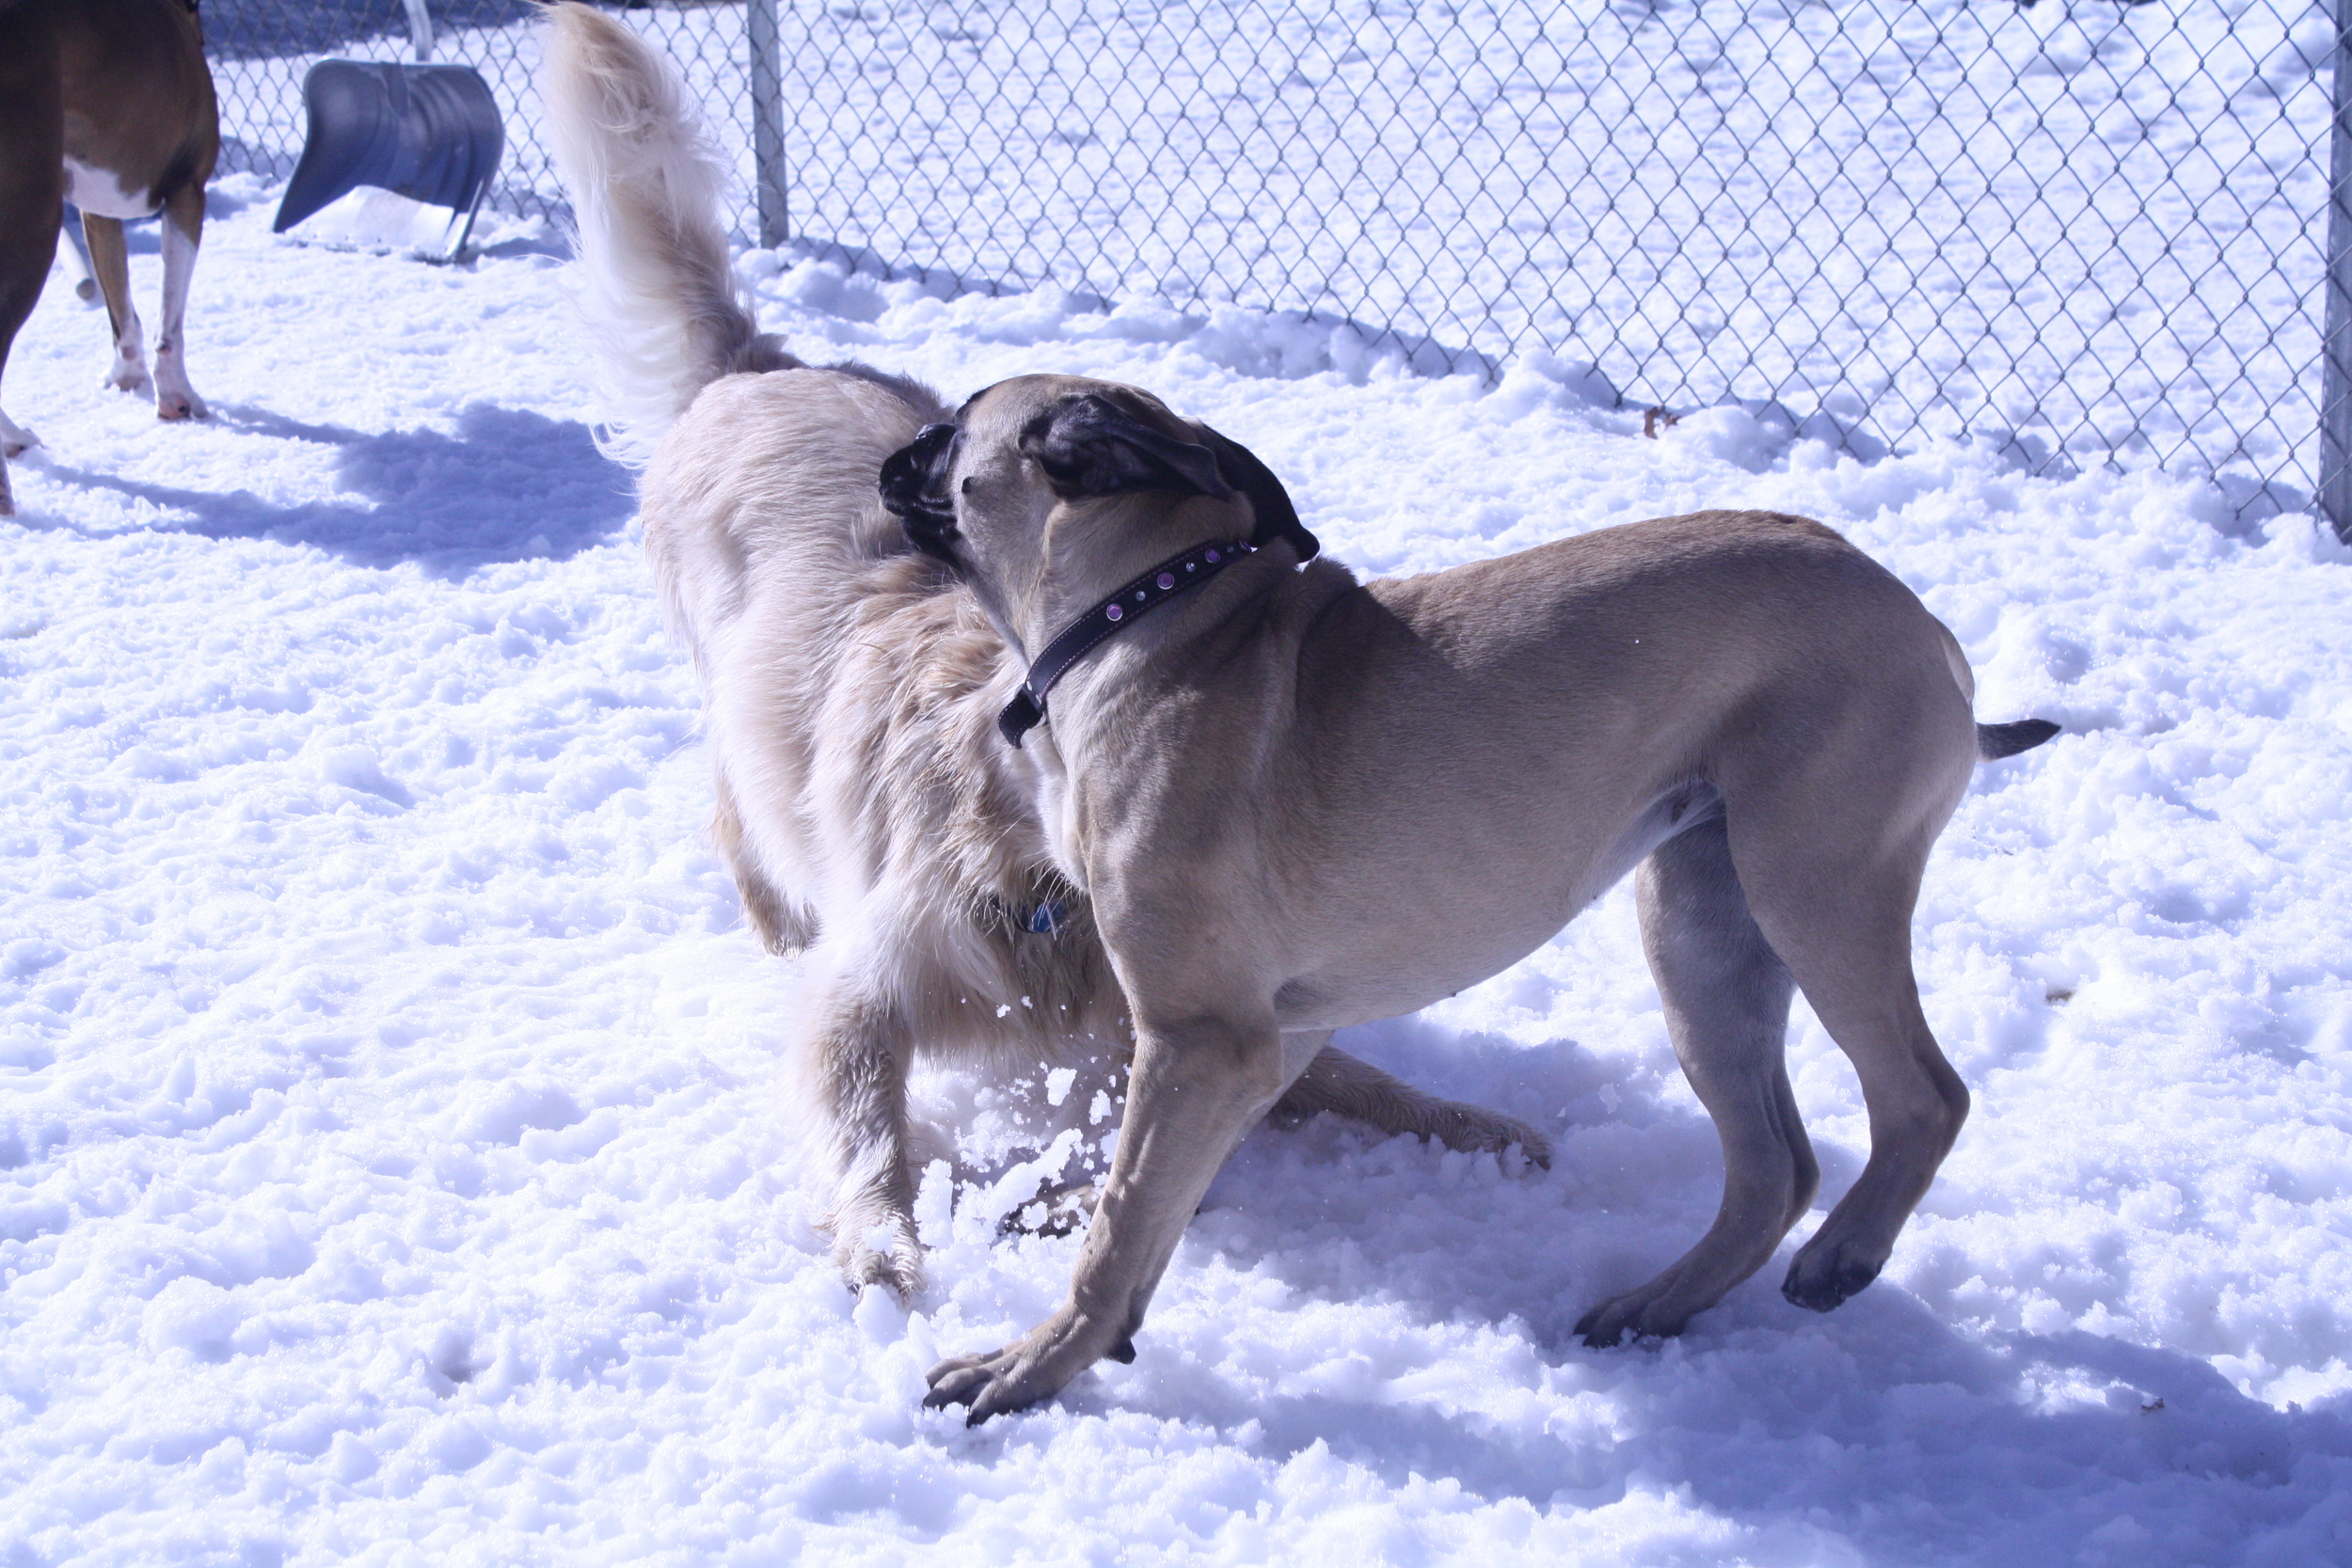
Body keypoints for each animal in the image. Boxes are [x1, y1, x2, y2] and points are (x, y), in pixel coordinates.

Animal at [0, 0, 218, 516]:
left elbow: (122, 311)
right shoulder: (187, 194)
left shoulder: (97, 212)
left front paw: (128, 378)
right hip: (31, 238)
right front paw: (176, 399)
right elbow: (169, 324)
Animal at [541, 6, 1552, 1297]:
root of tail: (755, 364)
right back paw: (773, 925)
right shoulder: (871, 984)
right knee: (736, 816)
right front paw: (883, 1244)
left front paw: (1473, 1121)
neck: (1039, 881)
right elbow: (865, 1119)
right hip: (727, 699)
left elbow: (1356, 1080)